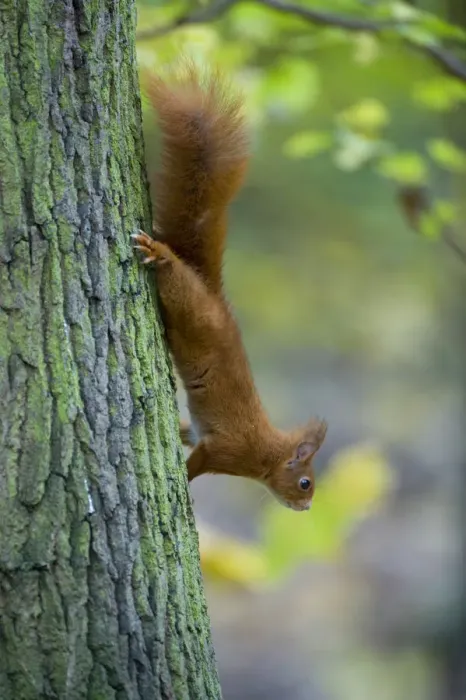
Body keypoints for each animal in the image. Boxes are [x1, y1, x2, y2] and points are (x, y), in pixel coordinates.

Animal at [132, 63, 327, 511]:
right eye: (305, 482)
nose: (307, 507)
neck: (267, 452)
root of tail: (214, 296)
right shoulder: (226, 449)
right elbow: (197, 464)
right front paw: (184, 486)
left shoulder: (202, 433)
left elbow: (188, 431)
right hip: (188, 305)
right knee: (173, 274)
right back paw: (159, 252)